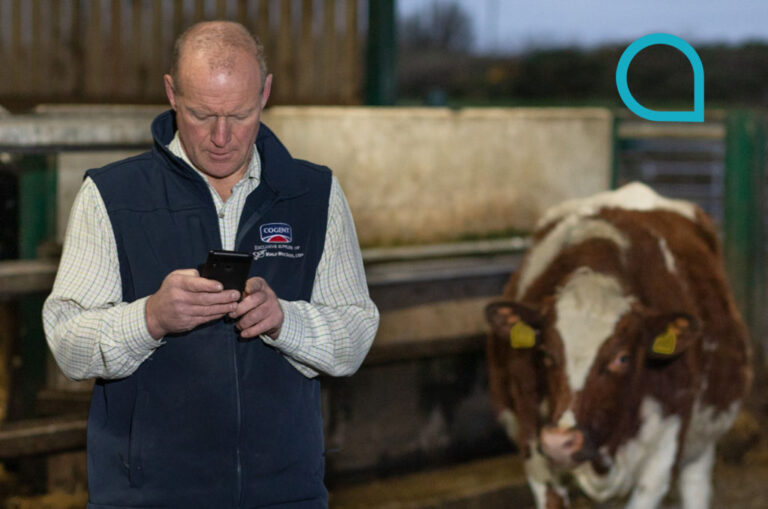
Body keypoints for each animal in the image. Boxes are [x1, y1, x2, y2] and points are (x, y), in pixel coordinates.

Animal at [486, 181, 752, 506]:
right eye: (546, 354)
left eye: (623, 358)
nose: (560, 441)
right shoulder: (534, 449)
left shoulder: (662, 457)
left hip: (703, 441)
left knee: (696, 484)